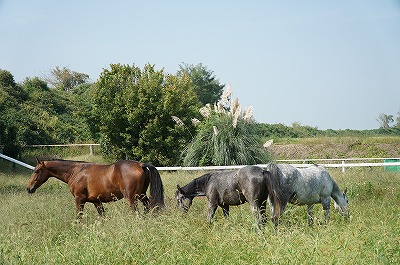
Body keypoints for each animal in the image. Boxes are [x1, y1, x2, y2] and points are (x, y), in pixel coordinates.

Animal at [27, 159, 164, 217]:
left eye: (36, 171)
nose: (29, 188)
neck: (76, 171)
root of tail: (140, 165)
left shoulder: (79, 199)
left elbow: (79, 216)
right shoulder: (96, 202)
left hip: (132, 198)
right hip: (142, 195)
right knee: (148, 207)